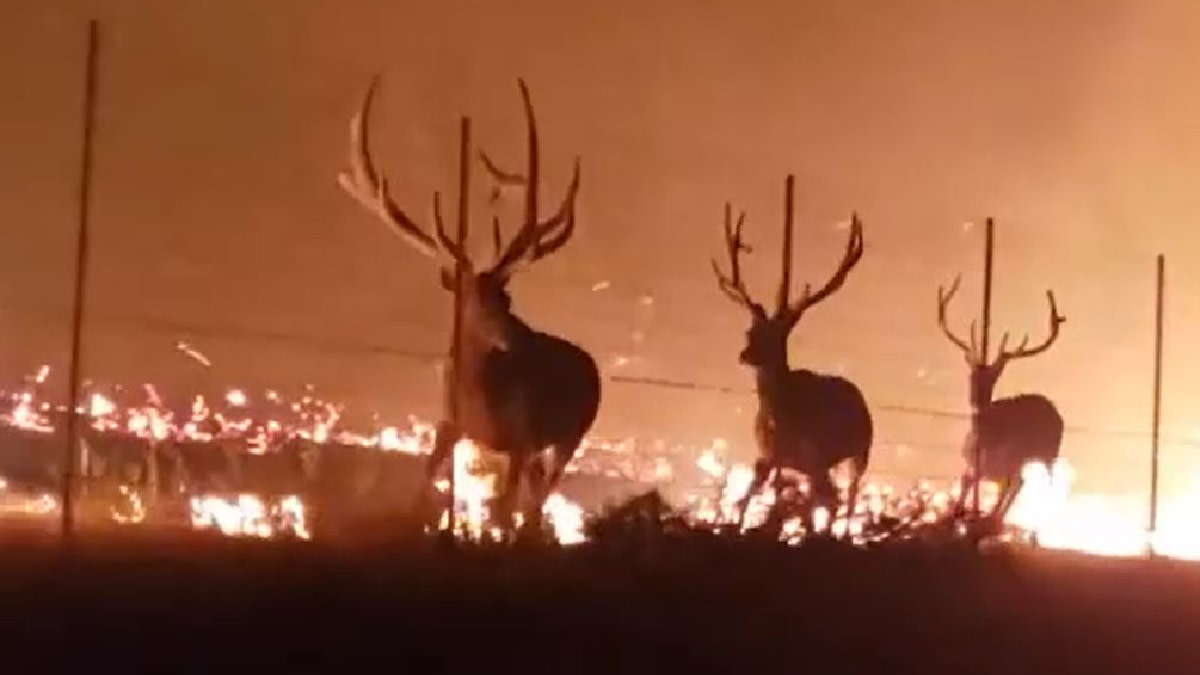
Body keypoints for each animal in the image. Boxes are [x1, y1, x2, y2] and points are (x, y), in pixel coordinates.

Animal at [338, 77, 600, 530]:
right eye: (473, 300)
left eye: (507, 295)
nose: (517, 337)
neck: (479, 397)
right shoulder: (449, 423)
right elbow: (424, 483)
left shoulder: (522, 438)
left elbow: (505, 512)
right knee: (535, 499)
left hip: (571, 436)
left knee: (539, 499)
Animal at [710, 172, 873, 530]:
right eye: (751, 331)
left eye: (778, 337)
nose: (744, 354)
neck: (783, 422)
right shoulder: (768, 457)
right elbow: (751, 496)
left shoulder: (814, 458)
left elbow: (810, 505)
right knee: (834, 499)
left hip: (860, 450)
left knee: (847, 498)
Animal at [936, 273, 1070, 521]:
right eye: (971, 375)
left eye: (994, 377)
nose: (977, 400)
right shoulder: (974, 463)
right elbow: (967, 480)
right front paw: (959, 510)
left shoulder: (1009, 460)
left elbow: (1003, 484)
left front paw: (988, 514)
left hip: (1047, 454)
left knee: (1026, 483)